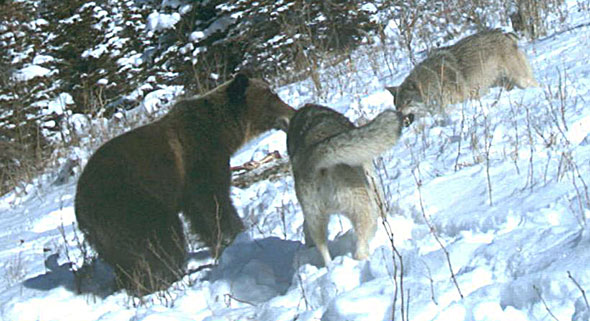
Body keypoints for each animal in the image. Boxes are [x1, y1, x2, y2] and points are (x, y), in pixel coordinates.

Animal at [74, 73, 296, 296]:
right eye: (272, 95)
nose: (292, 113)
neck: (223, 132)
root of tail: (81, 208)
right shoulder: (200, 161)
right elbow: (213, 204)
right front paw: (236, 237)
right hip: (131, 206)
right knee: (161, 240)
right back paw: (163, 278)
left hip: (108, 234)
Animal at [288, 103, 408, 264]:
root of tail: (313, 159)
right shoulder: (371, 178)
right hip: (363, 209)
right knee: (361, 248)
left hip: (316, 219)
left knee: (324, 250)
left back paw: (330, 266)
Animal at [388, 28, 540, 122]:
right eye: (398, 106)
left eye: (408, 102)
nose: (401, 118)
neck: (433, 82)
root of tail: (505, 34)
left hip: (521, 80)